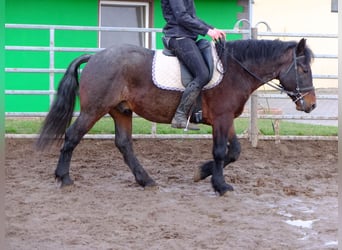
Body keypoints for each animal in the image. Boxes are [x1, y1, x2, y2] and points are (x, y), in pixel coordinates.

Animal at [36, 38, 316, 196]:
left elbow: (234, 151)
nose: (312, 105)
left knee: (124, 145)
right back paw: (64, 178)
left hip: (121, 111)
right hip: (94, 109)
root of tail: (95, 56)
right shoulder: (222, 118)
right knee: (72, 136)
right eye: (303, 69)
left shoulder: (225, 120)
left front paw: (202, 173)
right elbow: (220, 152)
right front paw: (220, 185)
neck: (235, 70)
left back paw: (146, 180)